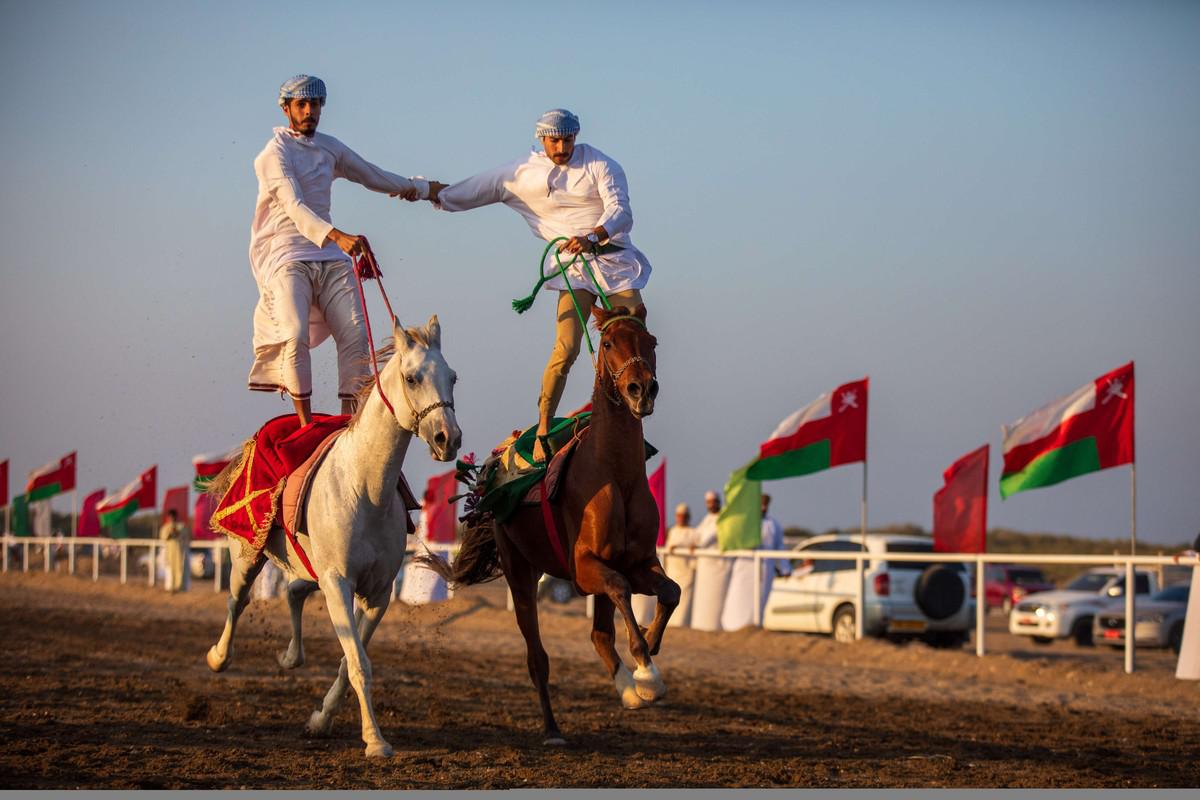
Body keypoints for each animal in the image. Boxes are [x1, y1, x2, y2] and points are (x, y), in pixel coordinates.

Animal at [206, 316, 458, 762]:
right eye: (412, 378)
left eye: (453, 378)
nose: (449, 438)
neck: (364, 488)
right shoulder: (339, 583)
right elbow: (357, 662)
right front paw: (375, 740)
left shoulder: (376, 594)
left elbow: (349, 660)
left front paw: (321, 720)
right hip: (249, 553)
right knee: (238, 598)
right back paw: (219, 657)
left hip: (311, 568)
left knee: (293, 590)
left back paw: (292, 656)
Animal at [424, 302, 686, 743]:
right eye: (609, 343)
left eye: (651, 341)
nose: (641, 390)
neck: (615, 474)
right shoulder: (583, 568)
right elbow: (621, 589)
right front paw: (648, 674)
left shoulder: (637, 561)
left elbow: (671, 592)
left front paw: (648, 655)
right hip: (520, 572)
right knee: (537, 657)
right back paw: (552, 729)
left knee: (600, 634)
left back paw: (627, 690)